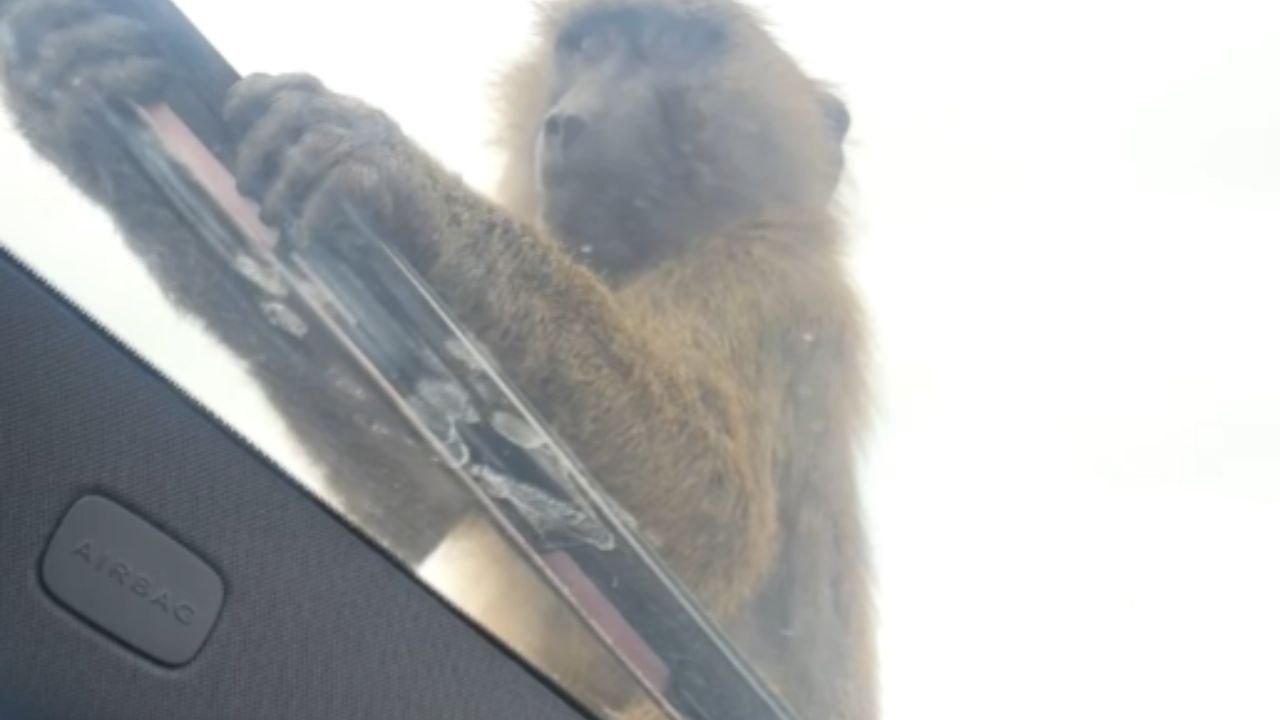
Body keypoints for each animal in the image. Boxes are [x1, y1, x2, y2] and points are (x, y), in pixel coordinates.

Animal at [0, 0, 875, 718]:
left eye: (671, 48)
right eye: (592, 46)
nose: (571, 121)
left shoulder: (773, 290)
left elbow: (713, 518)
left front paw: (395, 176)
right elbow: (413, 507)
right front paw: (78, 79)